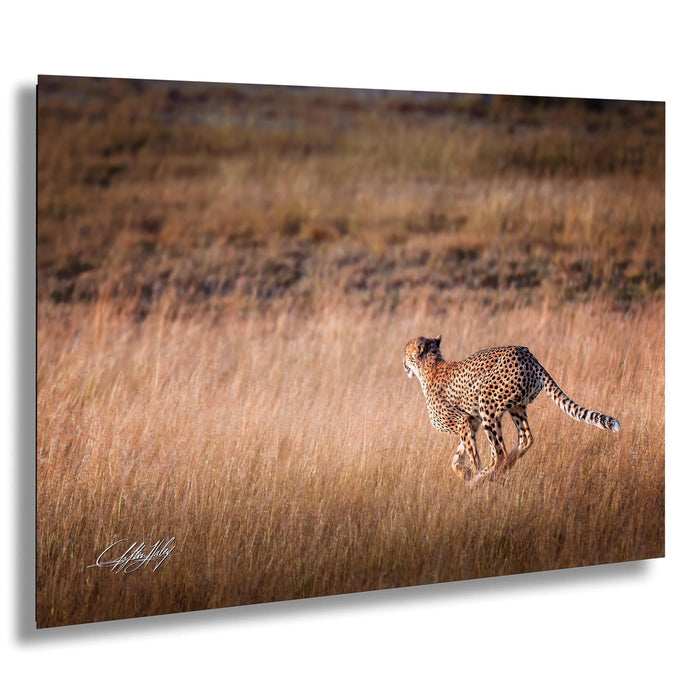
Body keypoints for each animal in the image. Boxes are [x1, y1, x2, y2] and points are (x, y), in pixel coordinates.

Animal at [403, 334, 620, 486]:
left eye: (406, 353)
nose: (403, 364)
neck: (430, 367)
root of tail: (527, 355)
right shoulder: (472, 421)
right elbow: (457, 457)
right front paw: (465, 472)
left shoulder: (462, 421)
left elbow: (472, 455)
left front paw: (472, 475)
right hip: (516, 406)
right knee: (525, 439)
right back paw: (503, 469)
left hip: (487, 402)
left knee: (499, 453)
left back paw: (483, 478)